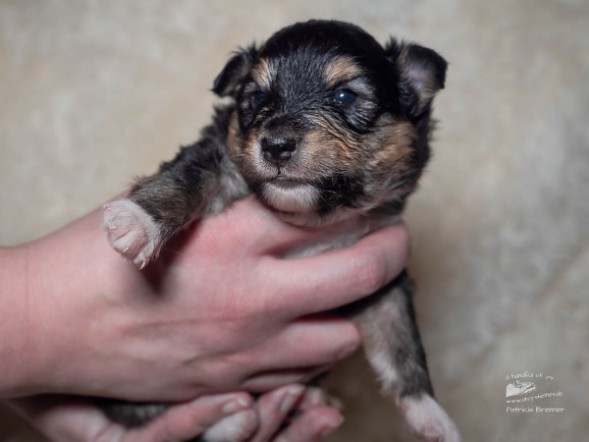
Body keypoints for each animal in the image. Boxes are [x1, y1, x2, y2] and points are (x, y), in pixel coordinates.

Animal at [101, 19, 460, 440]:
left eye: (344, 95)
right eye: (256, 96)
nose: (275, 145)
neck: (312, 216)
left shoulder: (382, 275)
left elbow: (400, 338)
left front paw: (431, 415)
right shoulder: (219, 156)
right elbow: (185, 176)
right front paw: (136, 220)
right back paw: (231, 418)